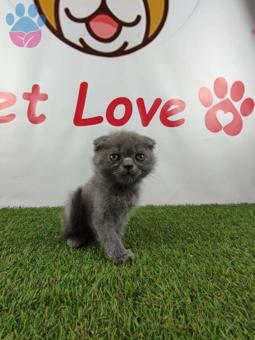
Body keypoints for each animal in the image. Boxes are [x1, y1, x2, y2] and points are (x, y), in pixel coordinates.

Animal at [62, 131, 156, 262]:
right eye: (114, 156)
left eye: (140, 156)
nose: (128, 165)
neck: (121, 189)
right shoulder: (101, 213)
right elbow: (109, 235)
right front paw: (121, 255)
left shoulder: (123, 214)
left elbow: (116, 230)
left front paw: (119, 241)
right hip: (74, 200)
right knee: (71, 229)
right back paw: (75, 239)